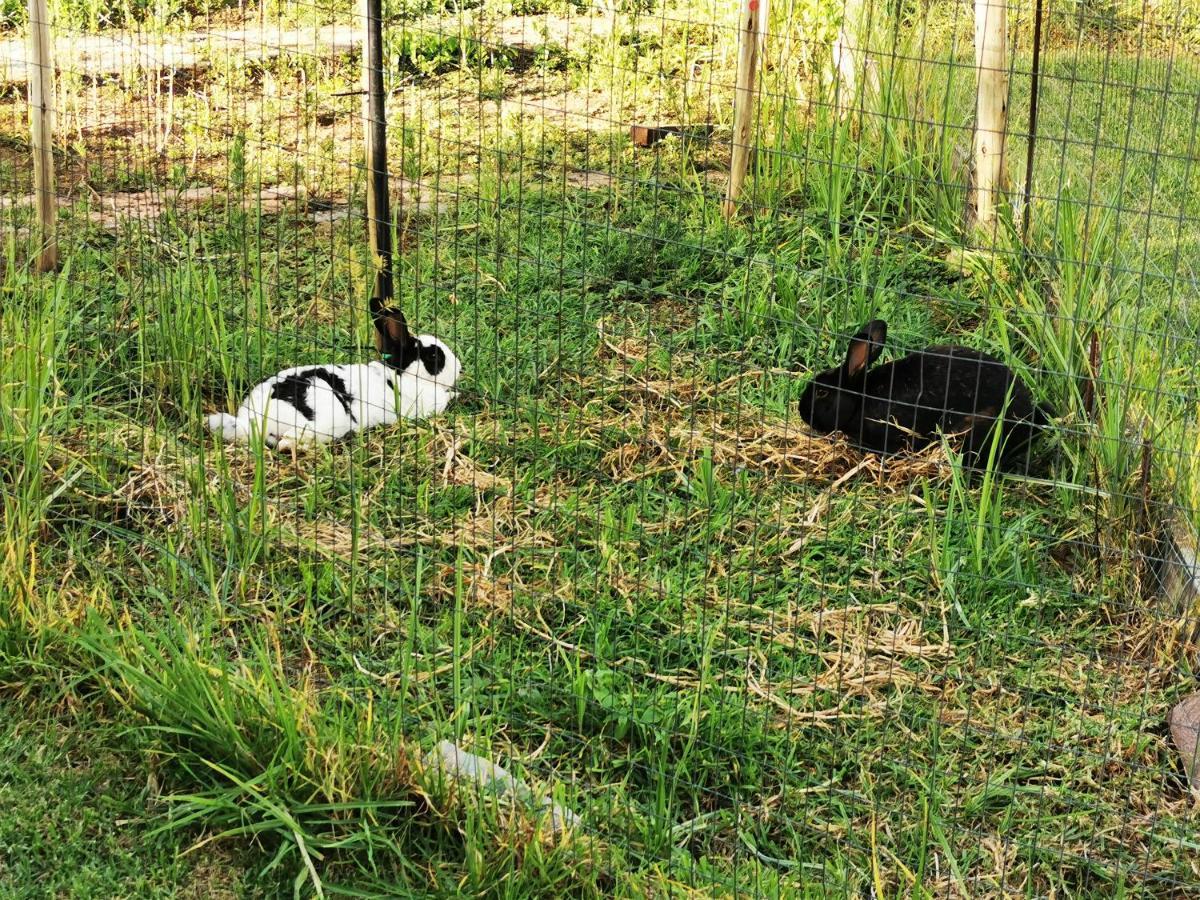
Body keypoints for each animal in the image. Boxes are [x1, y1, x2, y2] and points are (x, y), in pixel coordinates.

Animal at [206, 297, 458, 453]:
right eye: (434, 356)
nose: (459, 367)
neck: (400, 374)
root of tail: (254, 419)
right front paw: (455, 394)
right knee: (288, 440)